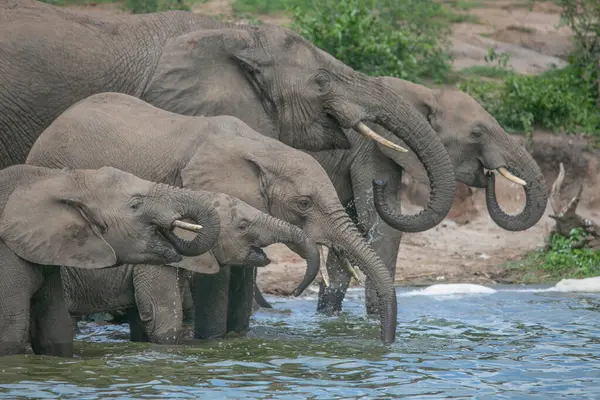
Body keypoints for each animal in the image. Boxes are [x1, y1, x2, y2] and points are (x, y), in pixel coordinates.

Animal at [28, 93, 400, 344]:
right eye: (304, 203)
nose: (385, 344)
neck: (261, 148)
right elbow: (215, 277)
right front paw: (213, 343)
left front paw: (235, 340)